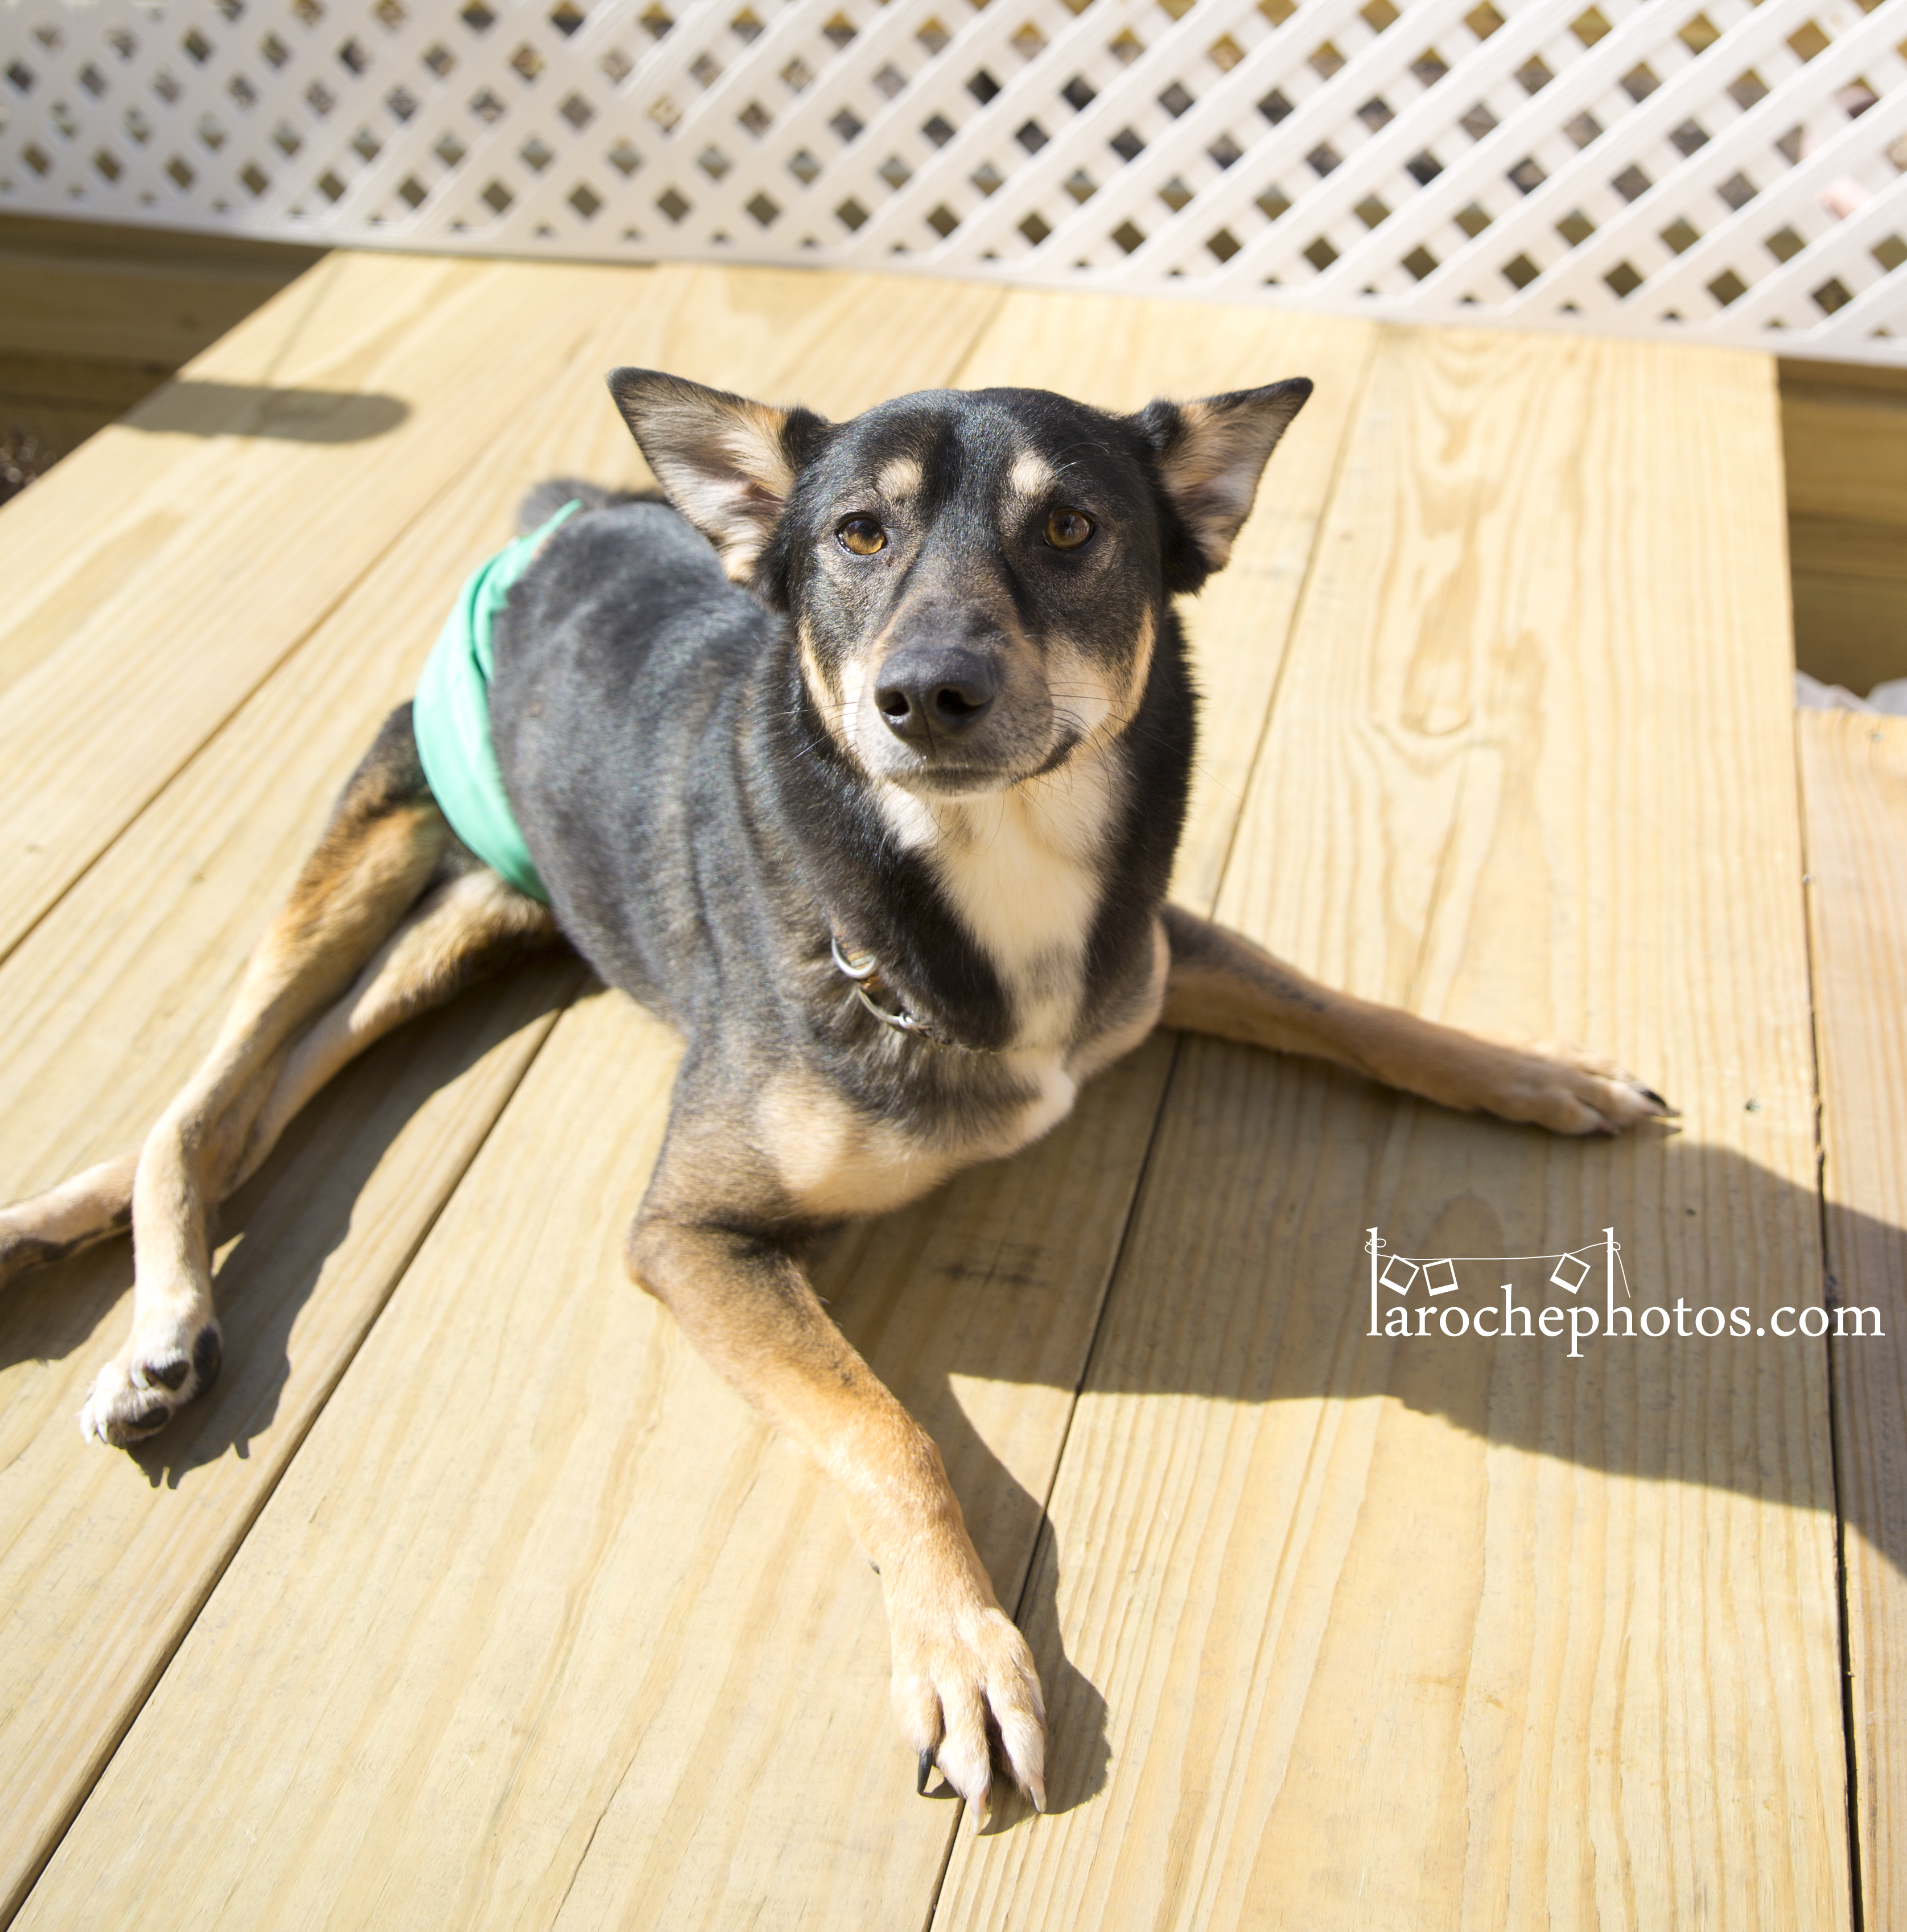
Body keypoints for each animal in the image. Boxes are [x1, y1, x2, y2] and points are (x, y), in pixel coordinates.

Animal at [0, 363, 1669, 1823]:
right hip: (380, 825)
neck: (970, 883)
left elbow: (1342, 1006)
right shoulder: (691, 1234)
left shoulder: (1142, 957)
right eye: (858, 534)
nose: (924, 693)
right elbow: (888, 1435)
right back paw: (152, 1326)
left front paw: (1535, 1073)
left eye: (1071, 529)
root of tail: (566, 510)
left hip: (487, 910)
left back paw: (62, 1224)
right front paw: (963, 1655)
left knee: (277, 1078)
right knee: (208, 1094)